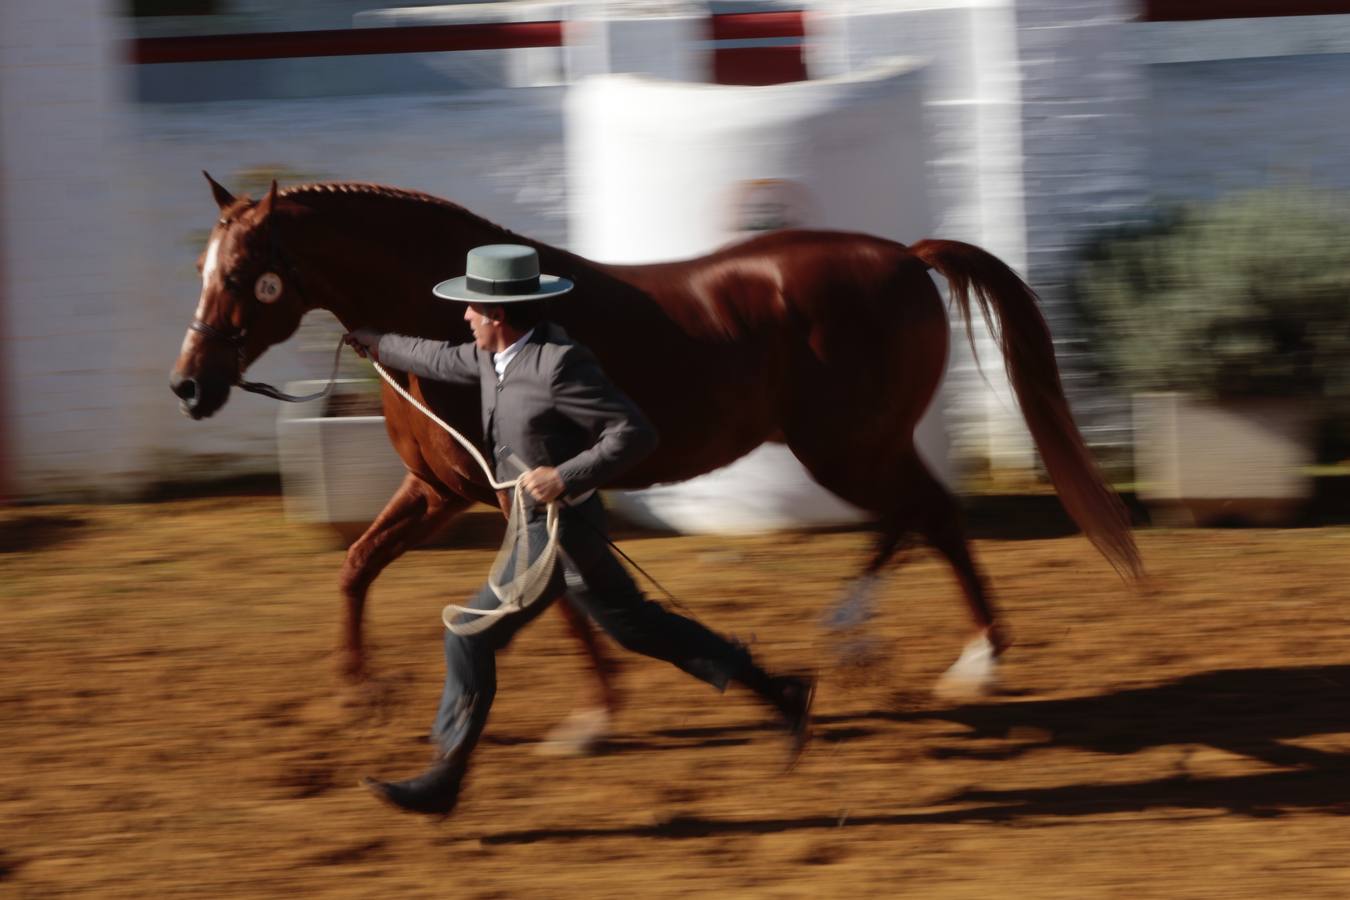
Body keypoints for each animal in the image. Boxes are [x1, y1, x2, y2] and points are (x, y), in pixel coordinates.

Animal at [168, 174, 1139, 723]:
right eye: (202, 269)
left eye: (245, 272)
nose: (188, 386)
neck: (452, 319)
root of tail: (906, 255)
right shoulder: (442, 490)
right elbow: (357, 567)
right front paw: (358, 694)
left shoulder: (513, 490)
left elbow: (550, 596)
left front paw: (595, 715)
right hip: (860, 444)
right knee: (918, 517)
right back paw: (880, 645)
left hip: (846, 446)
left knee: (930, 515)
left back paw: (957, 662)